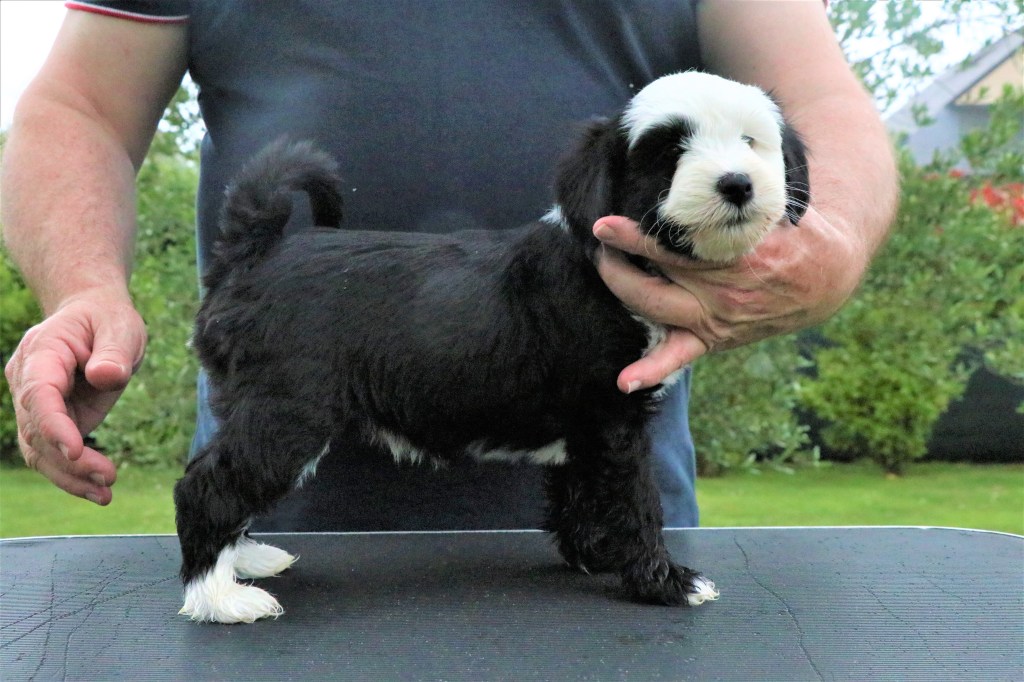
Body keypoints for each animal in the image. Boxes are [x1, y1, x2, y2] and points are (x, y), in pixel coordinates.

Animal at [174, 71, 810, 623]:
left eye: (751, 142)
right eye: (668, 151)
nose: (737, 183)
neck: (605, 265)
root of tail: (252, 252)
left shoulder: (588, 428)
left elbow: (584, 490)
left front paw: (595, 553)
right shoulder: (613, 417)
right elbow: (636, 500)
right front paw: (663, 580)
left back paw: (244, 557)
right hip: (287, 414)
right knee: (206, 485)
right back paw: (219, 596)